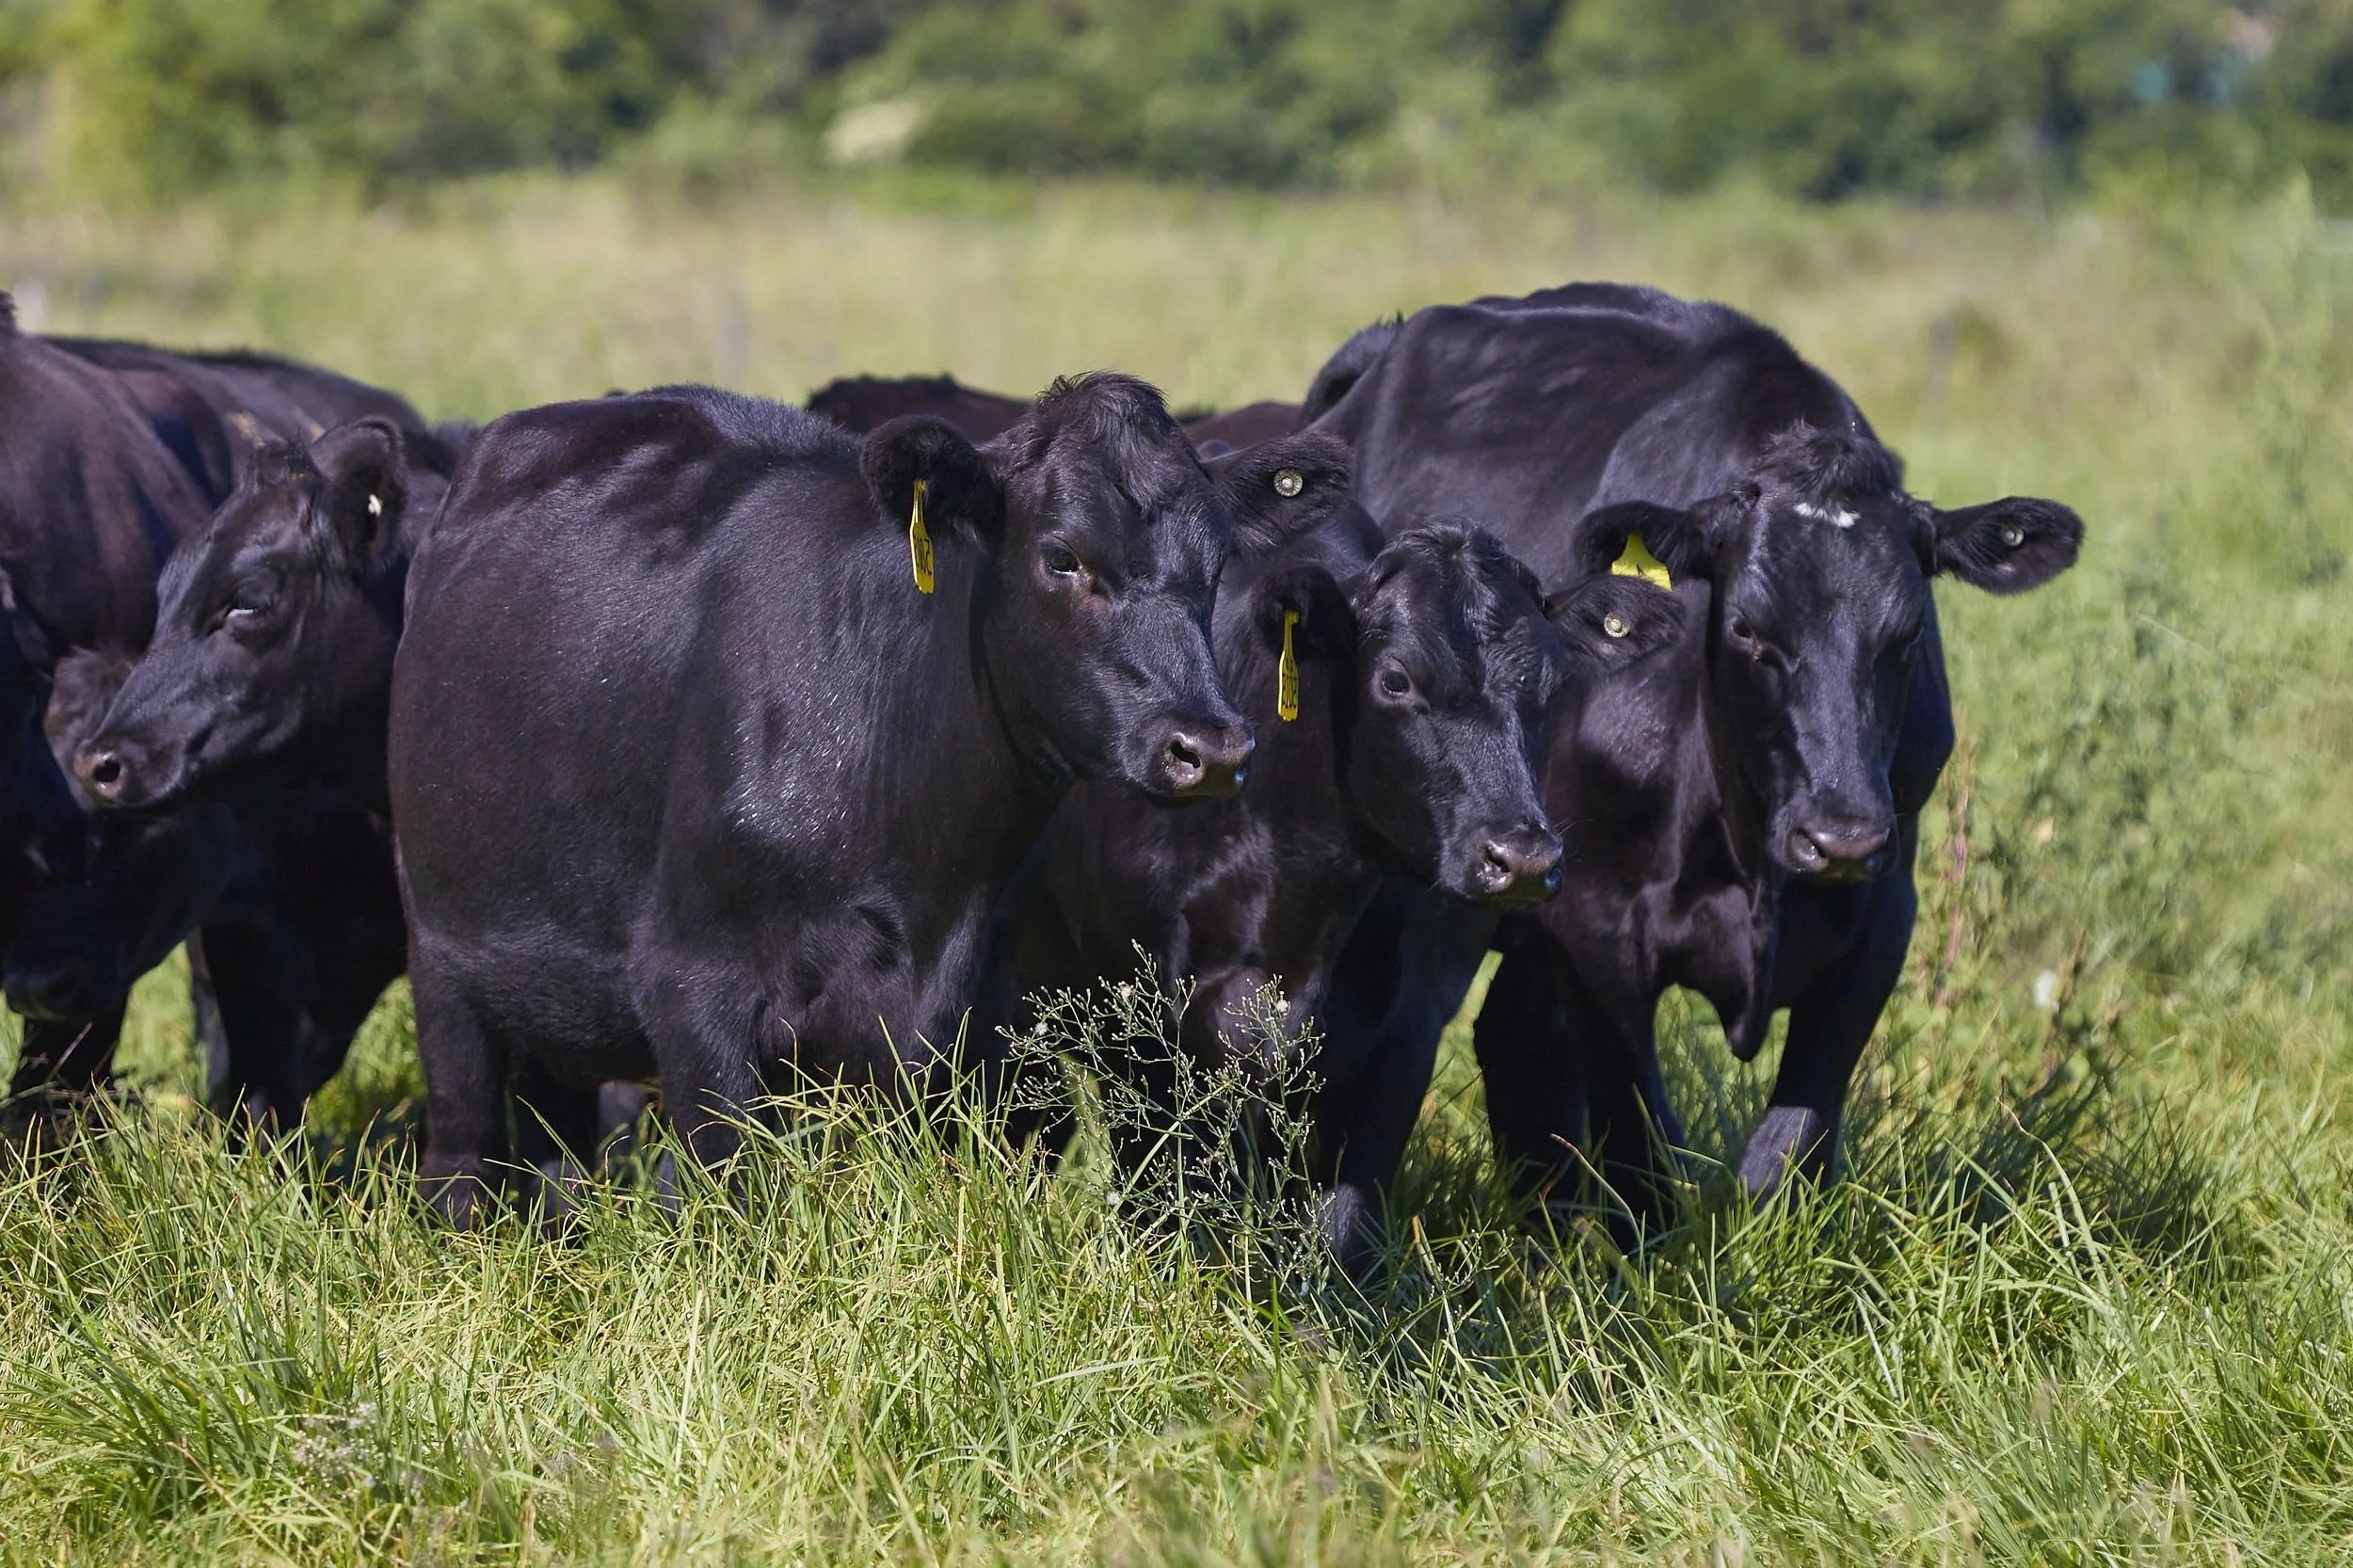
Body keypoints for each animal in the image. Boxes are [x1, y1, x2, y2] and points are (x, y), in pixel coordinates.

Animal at [388, 375, 1351, 1218]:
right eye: (1062, 557)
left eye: (1216, 567)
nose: (1211, 749)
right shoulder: (693, 990)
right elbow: (729, 1194)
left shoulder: (975, 1014)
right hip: (442, 958)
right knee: (463, 1162)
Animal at [1301, 283, 2083, 1227]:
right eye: (1748, 630)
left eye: (1904, 637)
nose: (1839, 837)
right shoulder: (1594, 925)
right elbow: (1643, 1155)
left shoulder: (1883, 908)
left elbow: (1793, 1144)